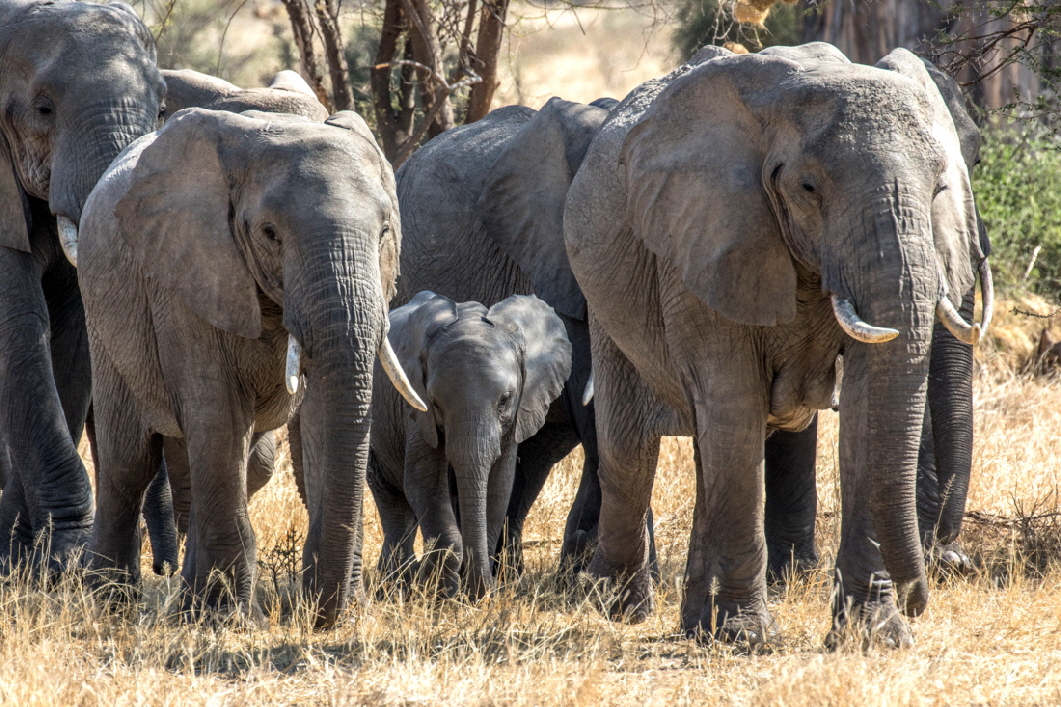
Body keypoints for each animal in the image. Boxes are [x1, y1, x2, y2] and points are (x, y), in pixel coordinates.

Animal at [77, 107, 422, 624]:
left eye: (384, 234)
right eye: (269, 234)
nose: (320, 617)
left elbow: (322, 417)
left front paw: (342, 613)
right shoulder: (185, 276)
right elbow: (217, 414)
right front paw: (225, 622)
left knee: (235, 462)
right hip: (103, 315)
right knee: (129, 460)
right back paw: (109, 604)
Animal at [371, 290, 577, 594]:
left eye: (505, 399)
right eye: (435, 403)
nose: (483, 591)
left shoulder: (512, 421)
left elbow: (499, 486)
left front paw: (471, 594)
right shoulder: (417, 412)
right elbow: (423, 482)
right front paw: (440, 592)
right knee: (393, 503)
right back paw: (397, 587)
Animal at [568, 42, 988, 645]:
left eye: (939, 189)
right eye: (809, 189)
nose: (922, 594)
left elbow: (865, 408)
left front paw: (874, 638)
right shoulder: (704, 240)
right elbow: (733, 401)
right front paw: (749, 639)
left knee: (708, 450)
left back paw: (695, 627)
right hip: (606, 292)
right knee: (632, 445)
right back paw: (620, 608)